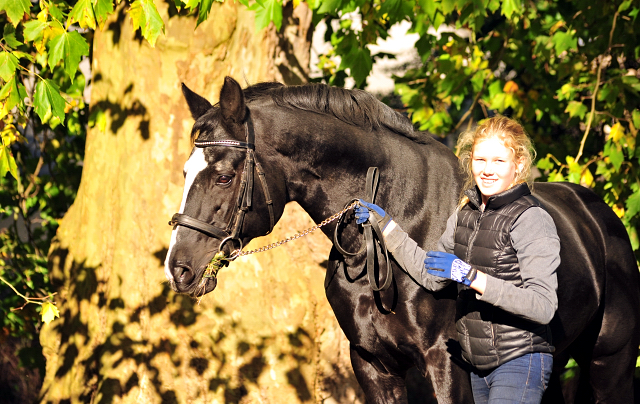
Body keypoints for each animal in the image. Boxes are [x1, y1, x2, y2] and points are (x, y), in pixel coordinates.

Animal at [164, 76, 640, 404]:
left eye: (224, 177)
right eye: (186, 172)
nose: (179, 268)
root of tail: (602, 221)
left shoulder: (444, 363)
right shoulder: (372, 364)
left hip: (610, 366)